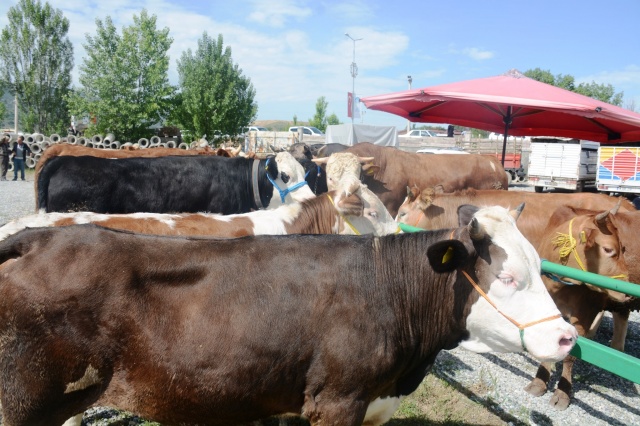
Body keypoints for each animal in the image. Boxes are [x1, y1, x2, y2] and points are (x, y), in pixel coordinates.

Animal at [0, 205, 576, 424]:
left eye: (540, 265)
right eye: (507, 277)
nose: (568, 339)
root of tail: (36, 235)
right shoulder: (335, 401)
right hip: (22, 400)